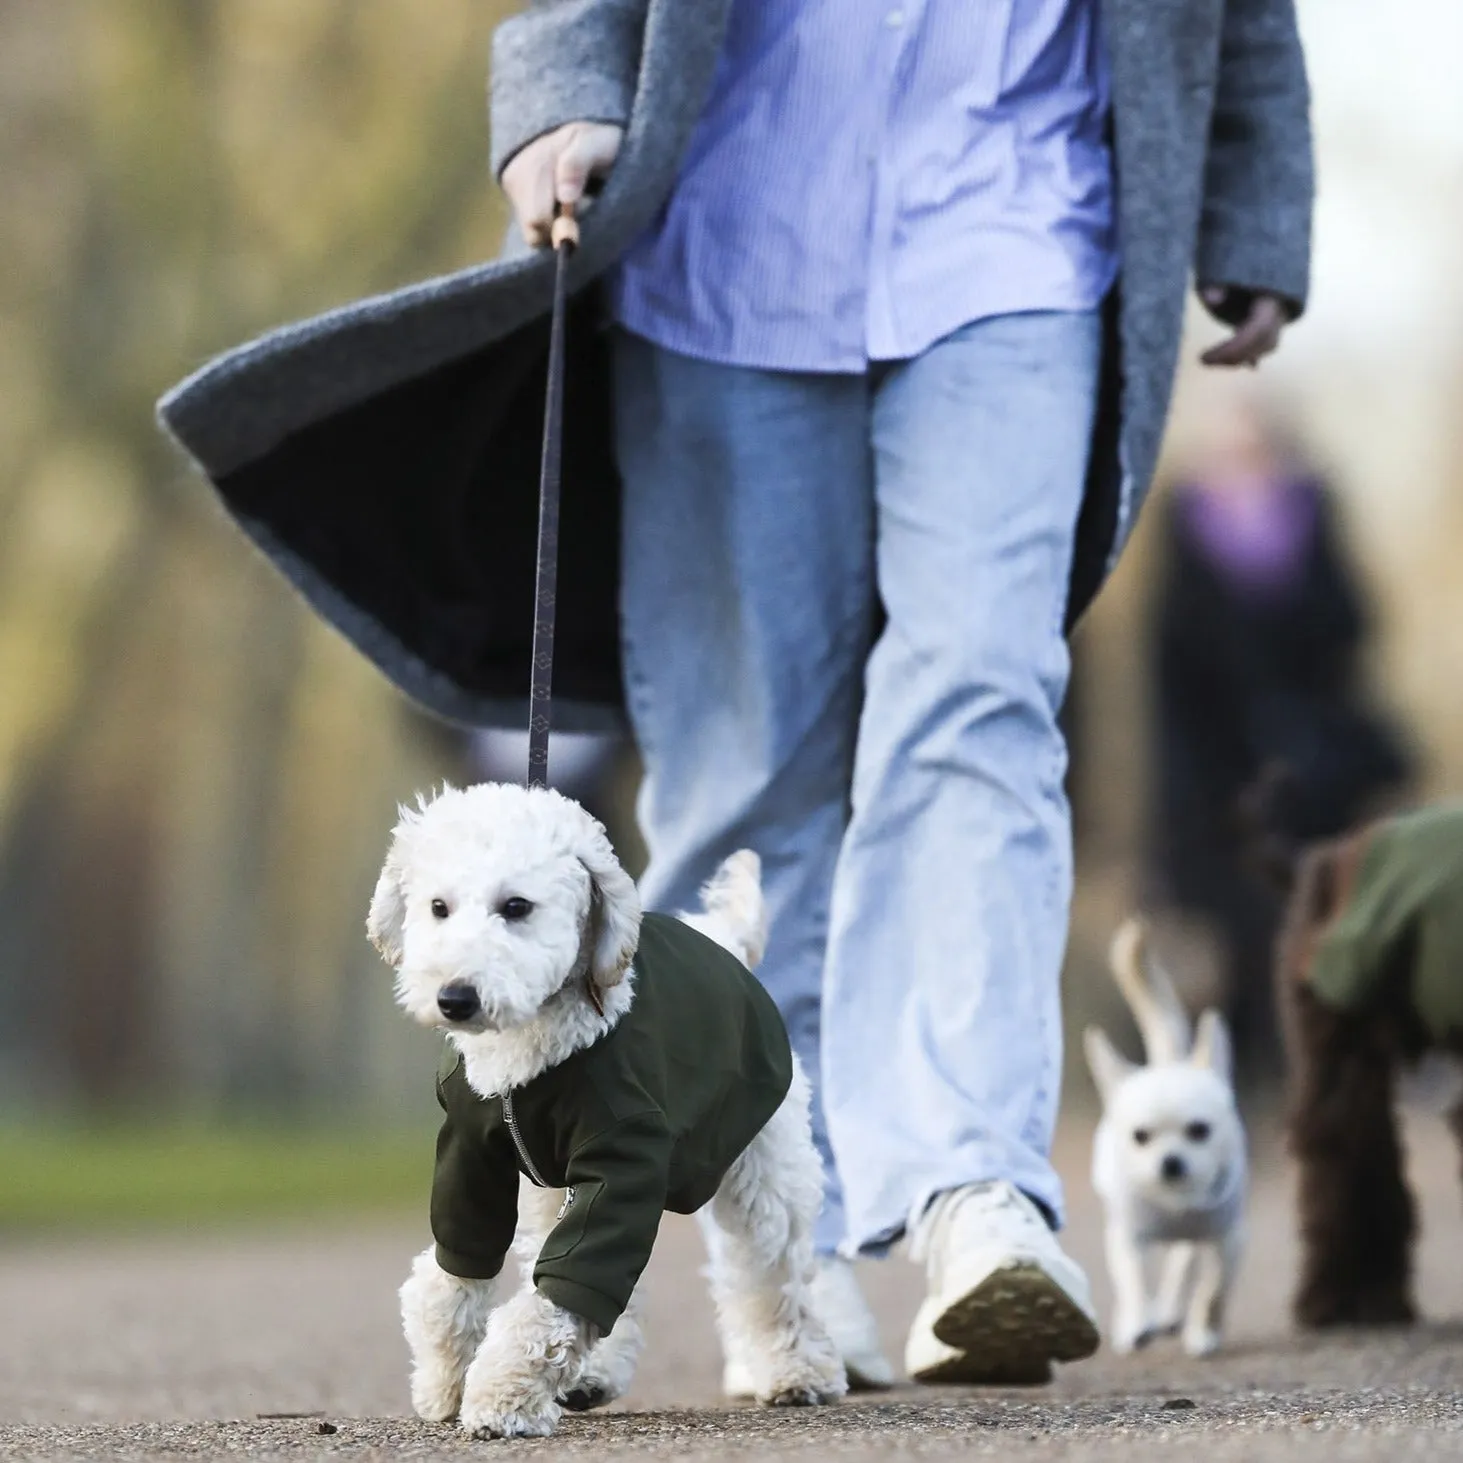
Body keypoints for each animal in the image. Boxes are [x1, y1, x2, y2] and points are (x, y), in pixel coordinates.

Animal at [368, 790, 848, 1439]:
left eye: (516, 906)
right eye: (438, 907)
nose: (455, 998)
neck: (530, 1060)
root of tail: (726, 937)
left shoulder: (621, 1157)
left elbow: (558, 1298)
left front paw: (500, 1397)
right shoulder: (470, 1157)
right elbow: (453, 1281)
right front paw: (445, 1383)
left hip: (764, 1166)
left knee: (771, 1274)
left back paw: (797, 1371)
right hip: (552, 1190)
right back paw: (592, 1376)